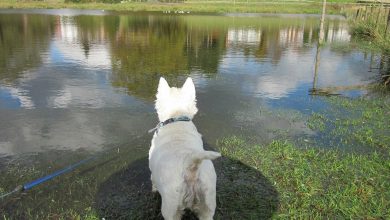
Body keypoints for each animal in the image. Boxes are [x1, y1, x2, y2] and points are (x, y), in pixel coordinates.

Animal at [149, 77, 221, 220]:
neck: (177, 118)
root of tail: (190, 165)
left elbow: (152, 179)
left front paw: (154, 190)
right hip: (208, 201)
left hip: (171, 206)